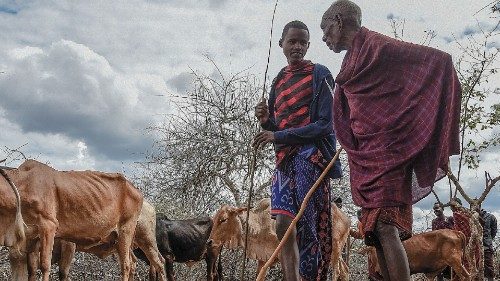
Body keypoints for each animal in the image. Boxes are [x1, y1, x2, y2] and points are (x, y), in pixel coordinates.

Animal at [4, 160, 143, 280]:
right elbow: (32, 270)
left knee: (126, 265)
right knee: (132, 262)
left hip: (125, 231)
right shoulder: (31, 240)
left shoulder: (50, 228)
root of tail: (136, 190)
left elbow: (47, 266)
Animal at [209, 198, 350, 278]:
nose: (210, 241)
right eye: (215, 218)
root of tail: (346, 218)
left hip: (334, 249)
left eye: (224, 219)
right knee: (345, 270)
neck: (260, 223)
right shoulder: (264, 259)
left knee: (337, 271)